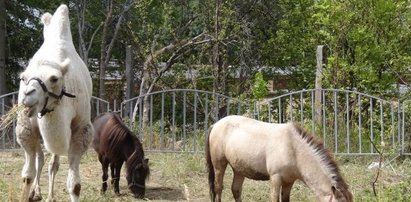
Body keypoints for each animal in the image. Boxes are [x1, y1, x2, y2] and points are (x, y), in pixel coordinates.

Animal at [16, 4, 93, 202]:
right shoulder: (26, 128)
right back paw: (36, 193)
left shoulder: (81, 128)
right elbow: (27, 176)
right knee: (40, 160)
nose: (27, 95)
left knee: (52, 162)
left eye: (54, 78)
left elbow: (75, 185)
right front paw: (28, 193)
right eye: (23, 78)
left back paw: (49, 196)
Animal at [206, 115, 354, 202]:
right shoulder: (276, 178)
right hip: (219, 165)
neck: (293, 148)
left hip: (239, 169)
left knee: (236, 190)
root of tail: (215, 125)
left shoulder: (289, 181)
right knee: (218, 187)